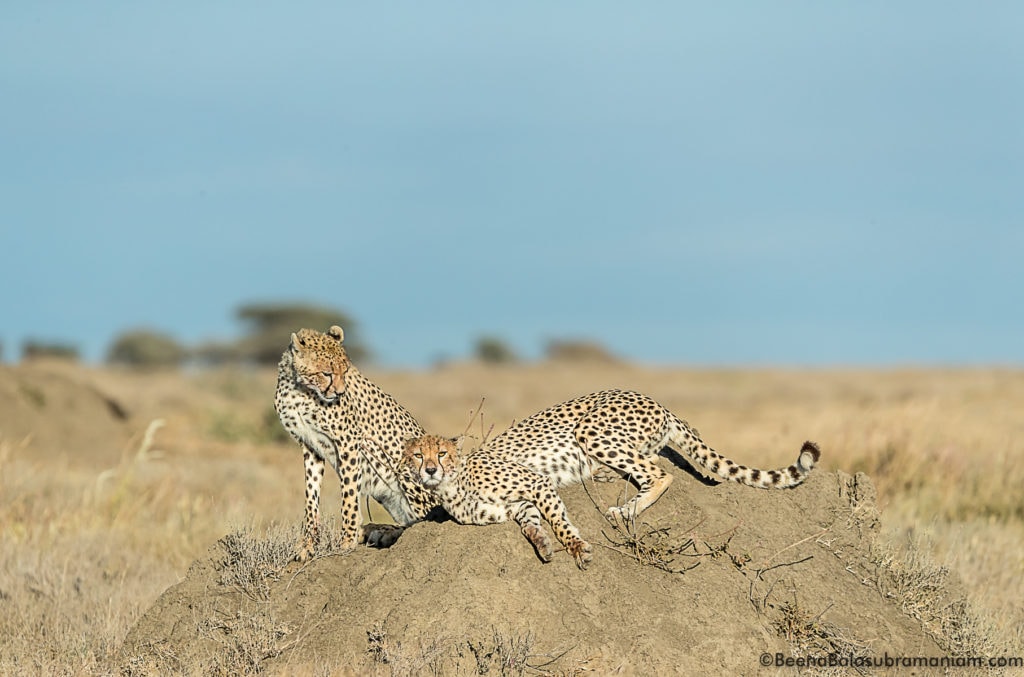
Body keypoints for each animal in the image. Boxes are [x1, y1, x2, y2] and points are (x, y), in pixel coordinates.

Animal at [274, 325, 438, 557]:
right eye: (326, 373)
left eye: (345, 372)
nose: (339, 393)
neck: (301, 388)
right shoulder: (310, 446)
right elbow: (311, 495)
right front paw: (307, 545)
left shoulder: (349, 442)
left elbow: (349, 494)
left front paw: (347, 540)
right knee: (409, 523)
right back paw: (378, 531)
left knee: (424, 521)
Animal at [399, 432, 593, 569]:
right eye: (418, 455)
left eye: (442, 453)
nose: (430, 470)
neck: (450, 484)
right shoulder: (509, 507)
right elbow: (529, 523)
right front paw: (541, 540)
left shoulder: (538, 483)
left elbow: (558, 520)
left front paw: (577, 547)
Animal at [475, 387, 819, 520]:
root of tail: (660, 404)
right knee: (649, 460)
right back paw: (604, 475)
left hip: (591, 428)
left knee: (661, 474)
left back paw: (627, 510)